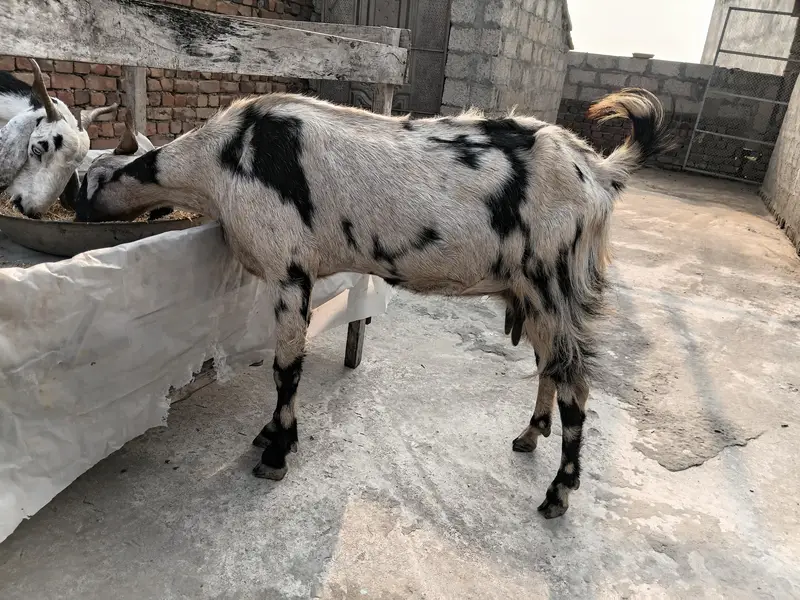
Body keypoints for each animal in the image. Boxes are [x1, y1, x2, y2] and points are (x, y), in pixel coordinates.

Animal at [75, 88, 670, 518]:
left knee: (577, 385)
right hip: (531, 291)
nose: (75, 214)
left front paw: (276, 451)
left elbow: (286, 368)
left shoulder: (289, 271)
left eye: (85, 182)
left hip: (556, 283)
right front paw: (271, 435)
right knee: (552, 367)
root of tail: (600, 171)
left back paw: (558, 492)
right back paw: (530, 434)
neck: (222, 159)